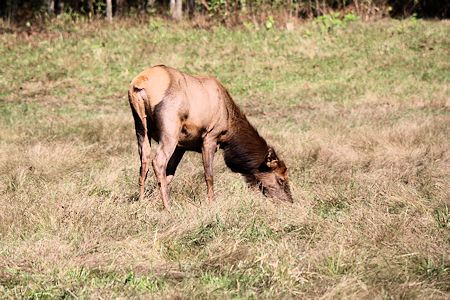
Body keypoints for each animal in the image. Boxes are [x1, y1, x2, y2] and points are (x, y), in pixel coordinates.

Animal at [128, 65, 294, 210]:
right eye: (281, 179)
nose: (290, 201)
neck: (229, 126)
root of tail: (140, 83)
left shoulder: (182, 146)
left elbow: (170, 175)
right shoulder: (210, 137)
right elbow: (209, 175)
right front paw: (211, 202)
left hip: (140, 127)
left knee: (144, 162)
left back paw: (141, 200)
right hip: (170, 129)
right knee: (158, 161)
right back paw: (168, 207)